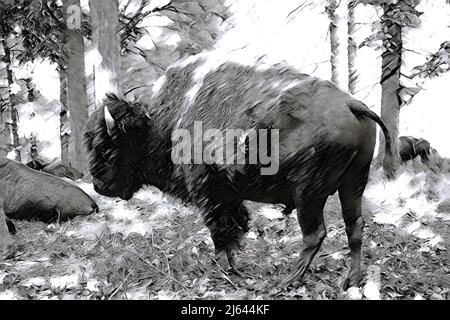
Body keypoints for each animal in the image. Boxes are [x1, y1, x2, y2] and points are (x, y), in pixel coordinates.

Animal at [85, 56, 390, 288]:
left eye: (107, 147)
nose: (99, 185)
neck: (163, 122)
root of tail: (352, 104)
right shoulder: (230, 196)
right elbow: (236, 226)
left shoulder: (209, 192)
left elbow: (220, 230)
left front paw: (224, 269)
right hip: (353, 183)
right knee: (354, 227)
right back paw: (351, 280)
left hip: (307, 192)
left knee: (315, 233)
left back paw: (286, 282)